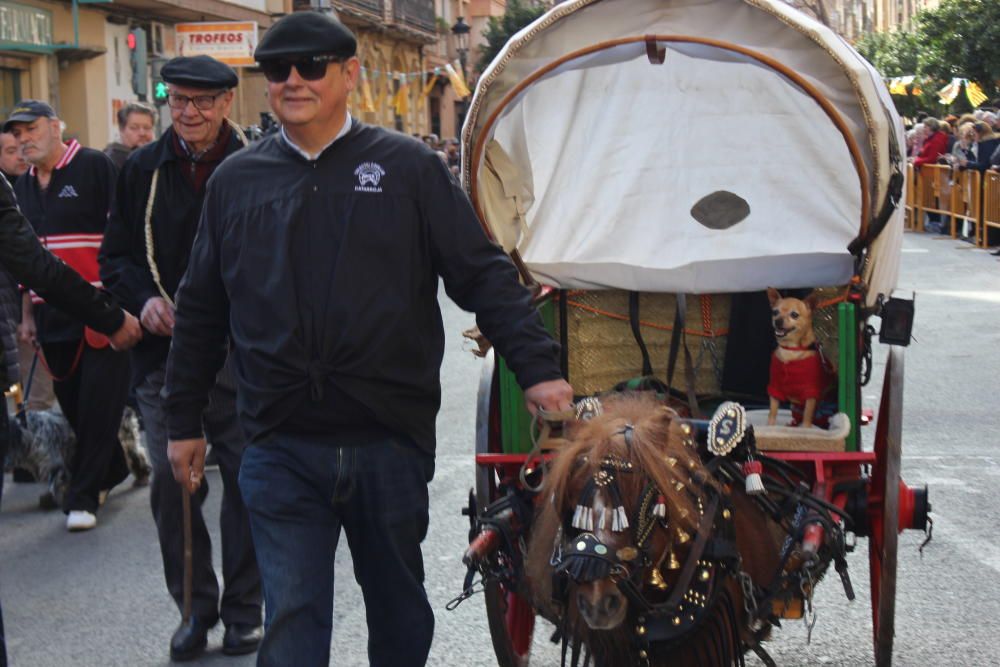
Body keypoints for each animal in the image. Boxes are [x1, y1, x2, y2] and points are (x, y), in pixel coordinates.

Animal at [4, 404, 150, 508]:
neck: (32, 431)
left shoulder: (56, 464)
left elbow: (57, 484)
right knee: (138, 455)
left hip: (124, 441)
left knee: (135, 456)